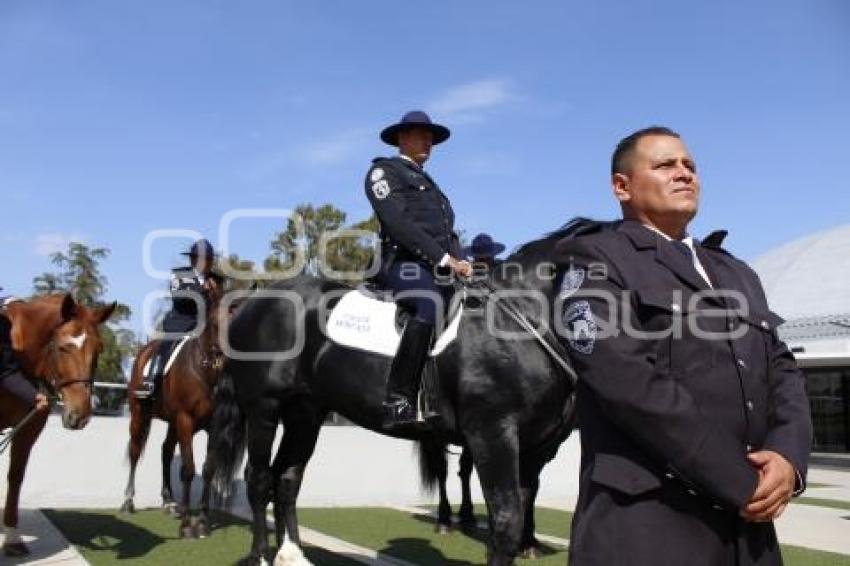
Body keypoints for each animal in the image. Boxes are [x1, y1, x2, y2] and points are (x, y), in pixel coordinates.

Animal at [0, 298, 115, 560]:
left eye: (99, 349)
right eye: (62, 347)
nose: (78, 416)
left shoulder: (29, 428)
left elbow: (15, 476)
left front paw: (12, 538)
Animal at [121, 286, 225, 540]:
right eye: (215, 323)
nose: (221, 361)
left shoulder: (214, 425)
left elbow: (208, 470)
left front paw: (203, 522)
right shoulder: (185, 420)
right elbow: (188, 469)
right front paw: (187, 526)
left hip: (172, 422)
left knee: (165, 451)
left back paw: (169, 502)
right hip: (140, 415)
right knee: (135, 451)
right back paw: (128, 501)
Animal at [209, 222, 588, 566]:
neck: (520, 320)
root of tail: (253, 302)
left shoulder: (536, 445)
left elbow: (522, 503)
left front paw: (530, 544)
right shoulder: (492, 435)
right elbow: (506, 519)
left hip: (305, 414)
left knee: (287, 478)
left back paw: (293, 554)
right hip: (263, 409)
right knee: (258, 479)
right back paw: (260, 555)